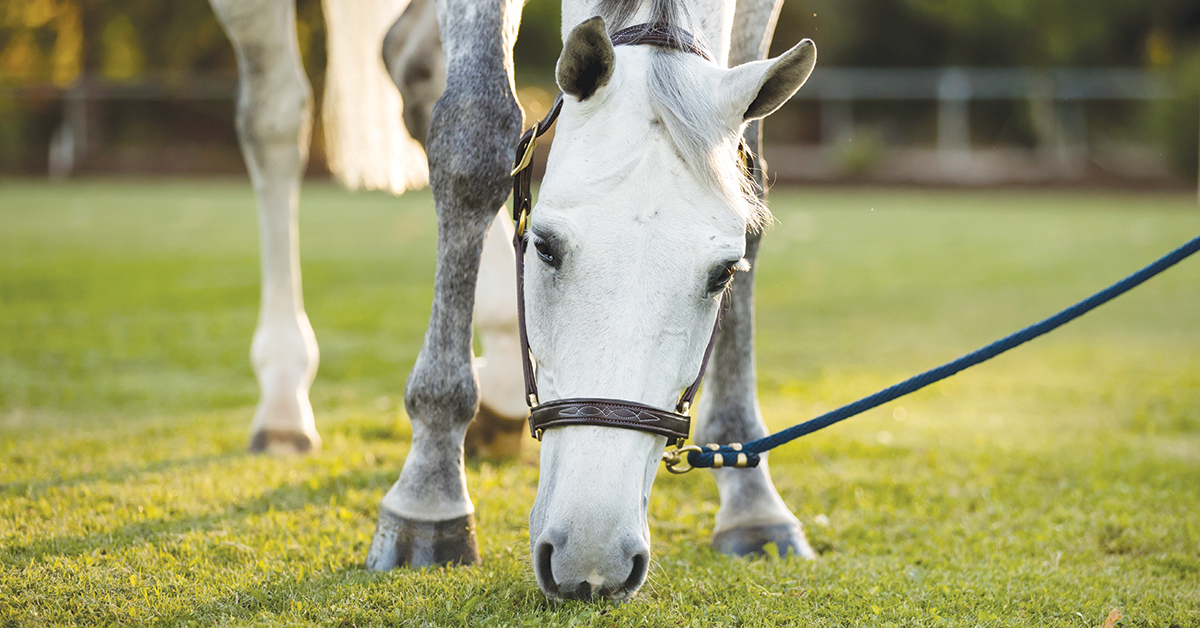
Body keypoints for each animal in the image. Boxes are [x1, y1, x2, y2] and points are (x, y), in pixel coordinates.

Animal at [208, 0, 816, 602]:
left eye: (723, 274)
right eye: (545, 247)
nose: (592, 559)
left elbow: (751, 176)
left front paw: (749, 495)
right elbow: (474, 140)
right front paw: (430, 488)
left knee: (409, 60)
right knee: (276, 115)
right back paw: (284, 397)